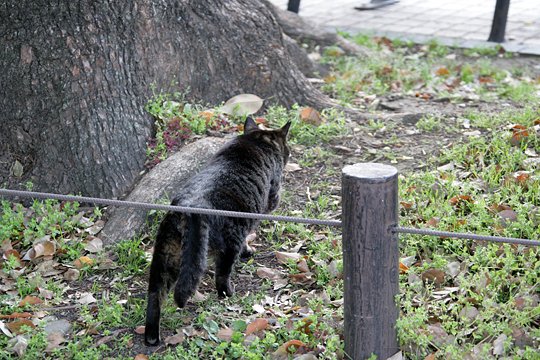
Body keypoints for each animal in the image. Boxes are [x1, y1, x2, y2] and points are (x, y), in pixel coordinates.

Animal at [142, 116, 286, 346]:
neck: (256, 140)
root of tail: (190, 208)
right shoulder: (269, 200)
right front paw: (248, 251)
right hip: (228, 242)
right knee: (222, 273)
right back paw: (228, 293)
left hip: (166, 256)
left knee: (155, 294)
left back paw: (152, 336)